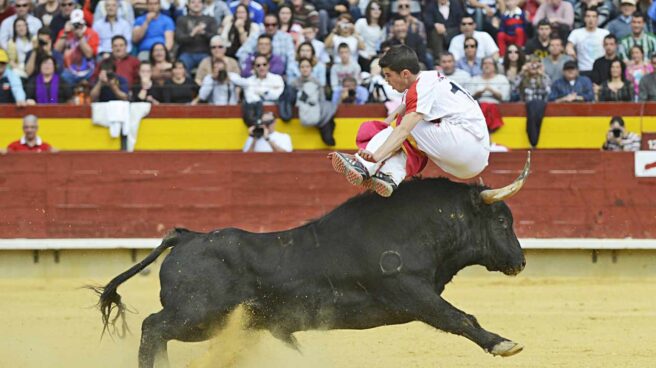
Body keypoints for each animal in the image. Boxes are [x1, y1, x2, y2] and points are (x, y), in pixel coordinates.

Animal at [95, 157, 532, 366]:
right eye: (501, 220)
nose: (521, 261)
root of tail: (186, 237)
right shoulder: (413, 293)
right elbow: (460, 318)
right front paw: (504, 344)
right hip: (198, 315)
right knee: (153, 327)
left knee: (157, 332)